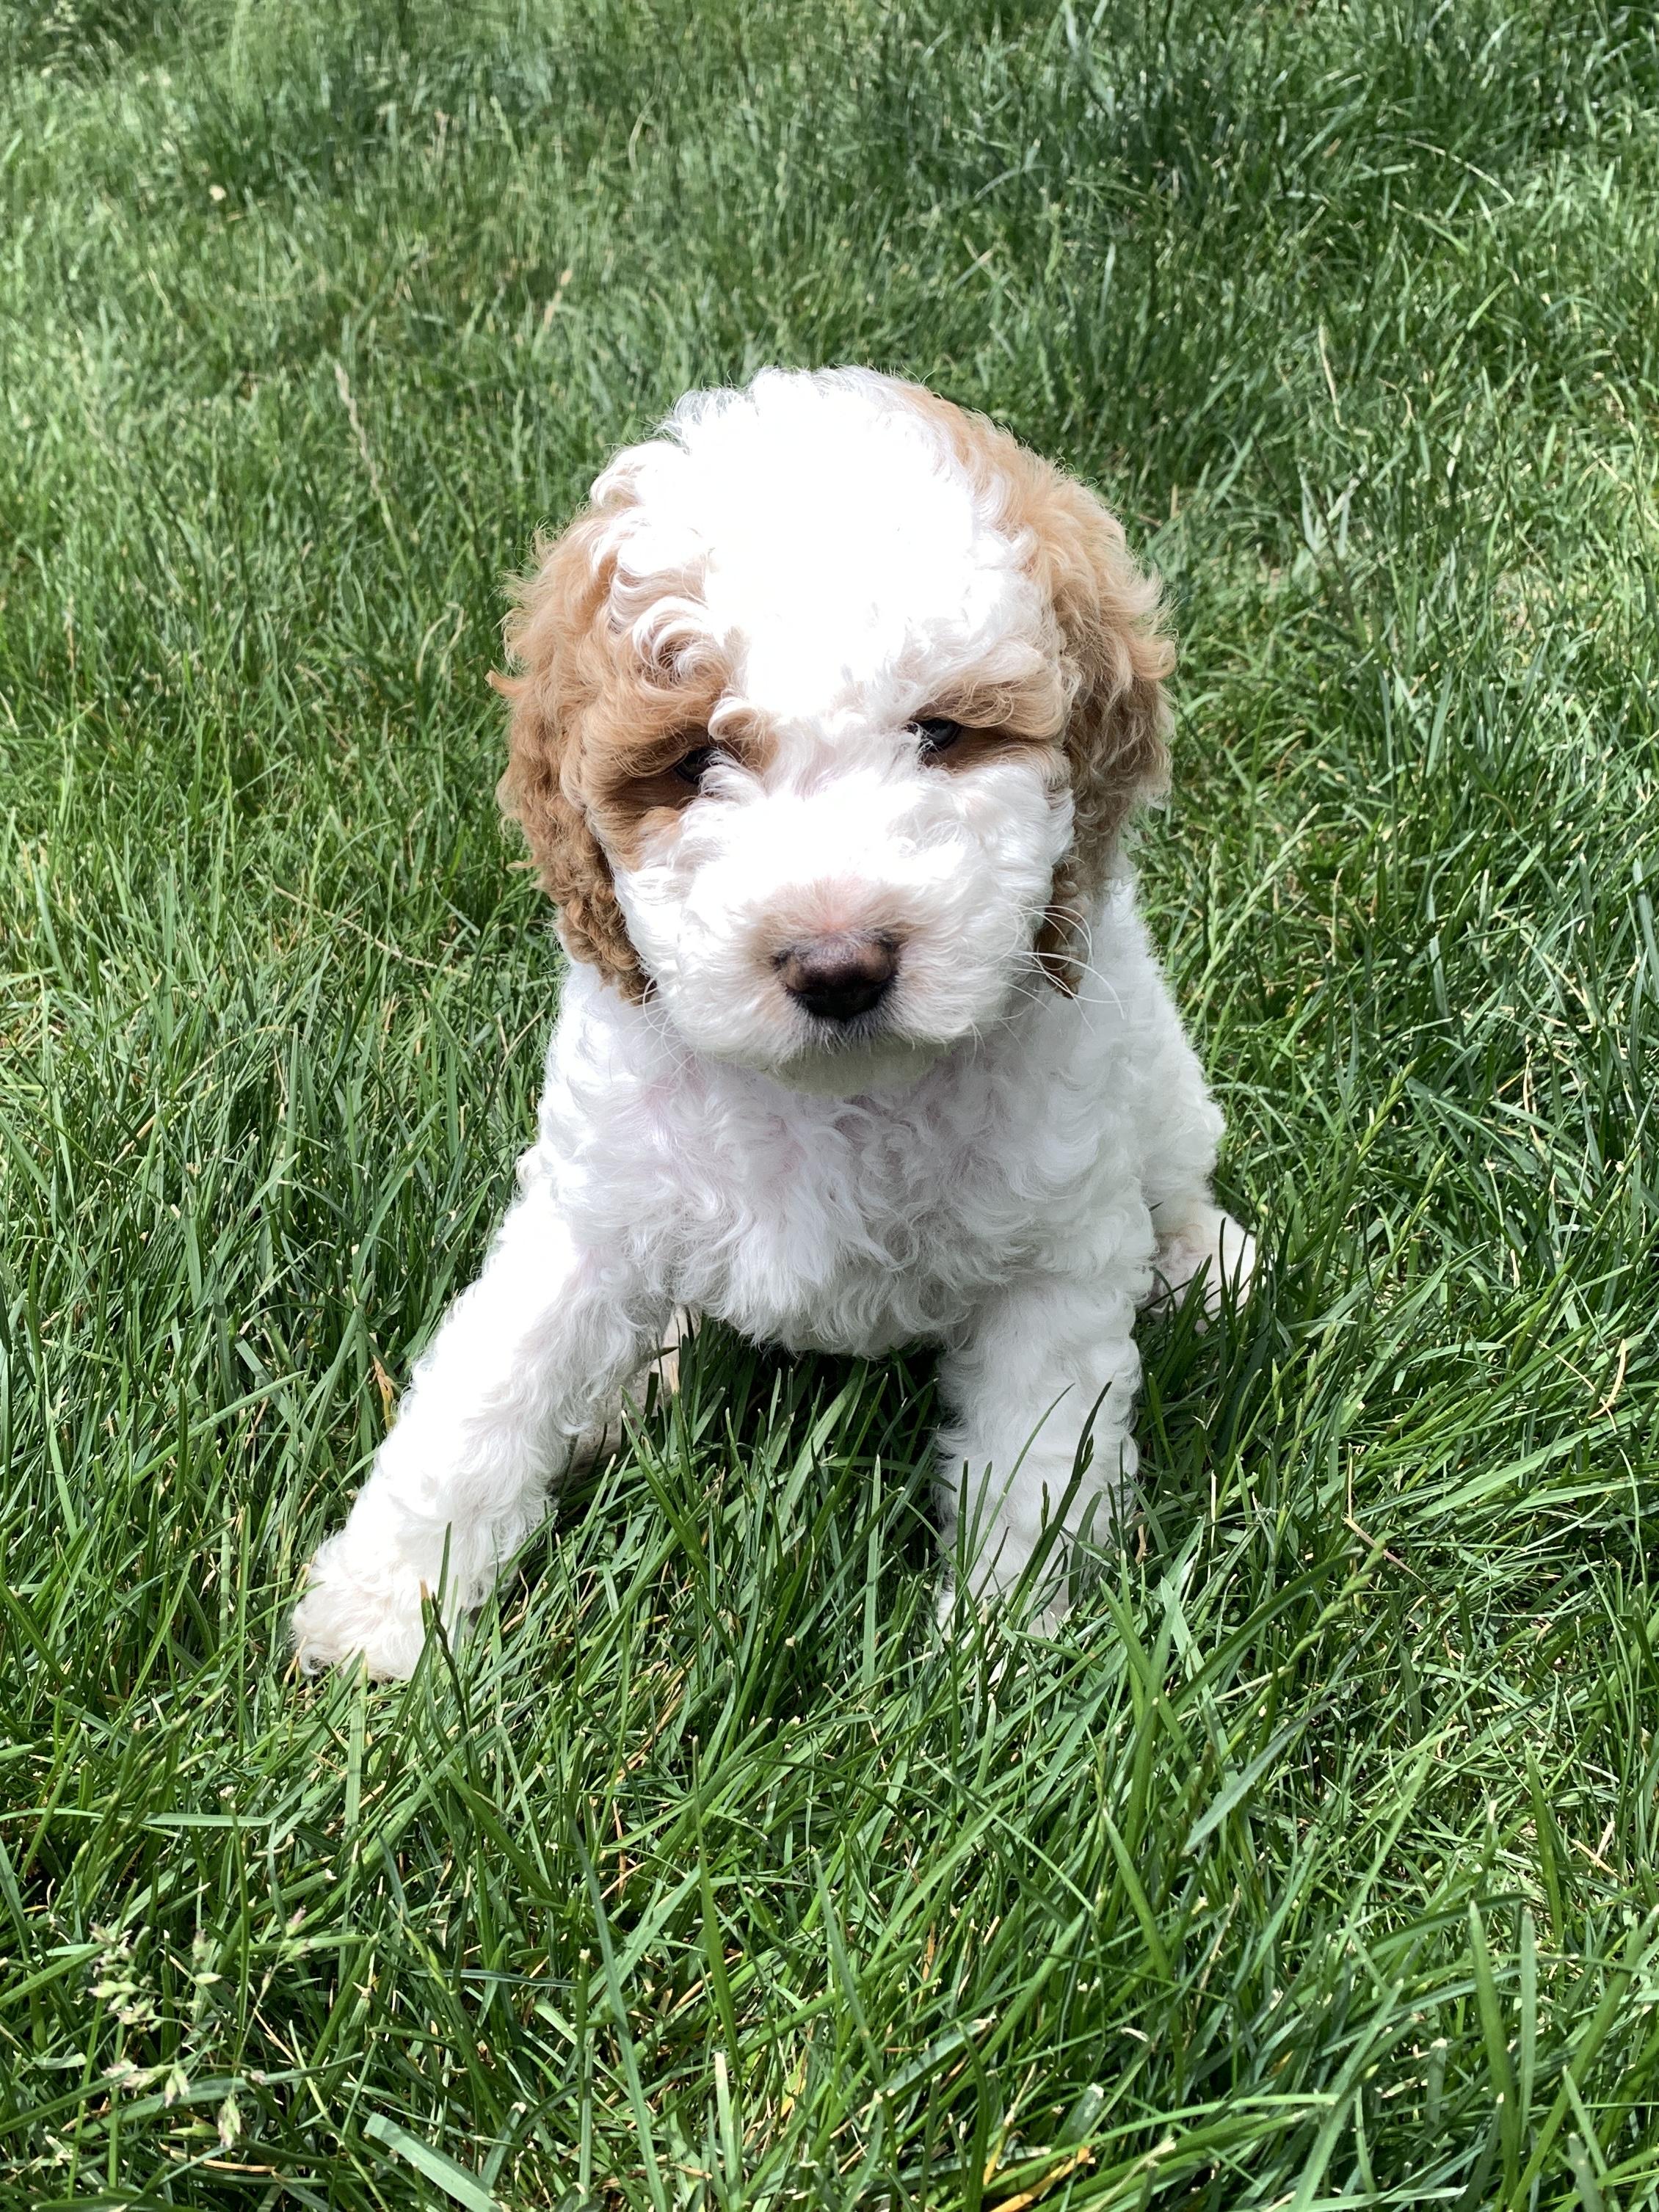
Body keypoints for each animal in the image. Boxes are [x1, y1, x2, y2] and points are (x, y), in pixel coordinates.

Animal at [291, 367, 1253, 1679]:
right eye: (698, 757)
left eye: (941, 732)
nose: (839, 964)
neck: (832, 1096)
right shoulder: (591, 1203)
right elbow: (487, 1392)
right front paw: (383, 1605)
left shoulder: (1052, 1263)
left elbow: (1034, 1468)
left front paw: (999, 1657)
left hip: (1156, 1082)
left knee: (1177, 1171)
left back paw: (1207, 1262)